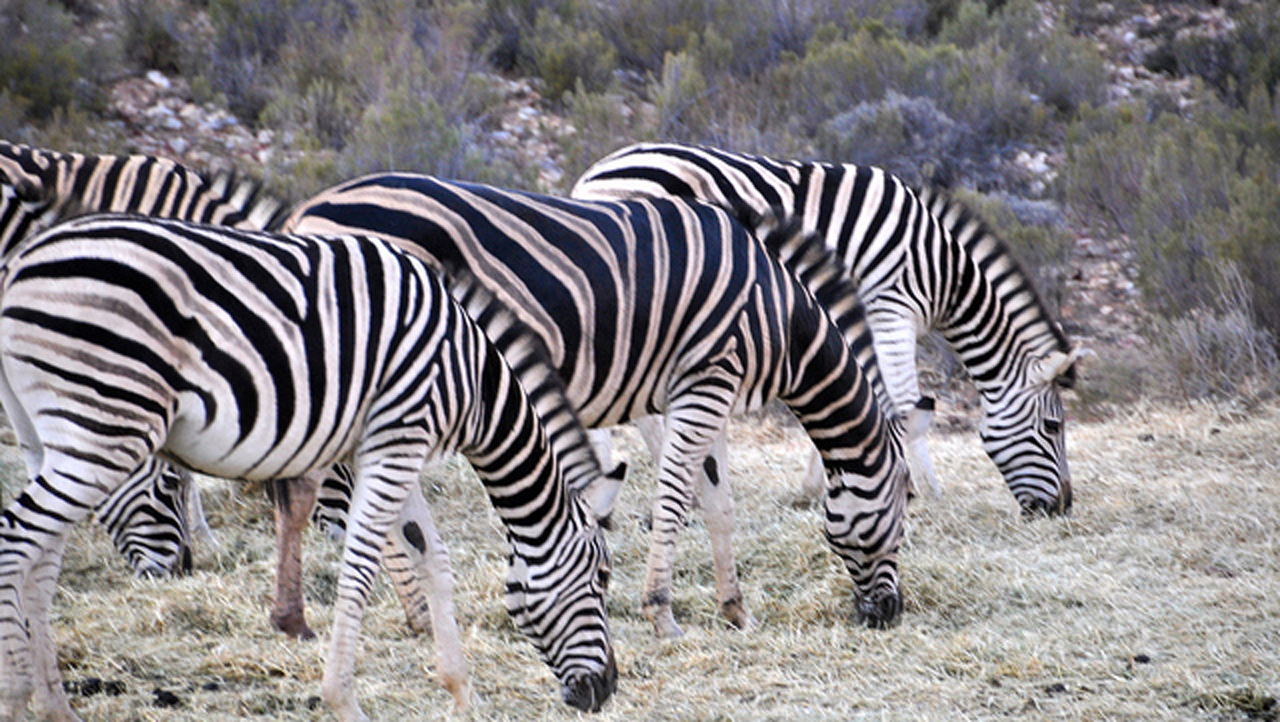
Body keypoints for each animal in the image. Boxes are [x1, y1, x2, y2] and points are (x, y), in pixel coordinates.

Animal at [0, 213, 620, 721]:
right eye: (603, 577)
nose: (606, 691)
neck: (472, 380)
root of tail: (23, 264)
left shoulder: (390, 444)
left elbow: (432, 556)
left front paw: (462, 693)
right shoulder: (399, 437)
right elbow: (363, 565)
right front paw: (344, 701)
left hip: (56, 436)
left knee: (42, 560)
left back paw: (55, 705)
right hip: (106, 425)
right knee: (17, 541)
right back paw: (17, 696)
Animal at [281, 173, 916, 639]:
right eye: (905, 507)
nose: (889, 616)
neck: (779, 311)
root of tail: (305, 211)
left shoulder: (709, 385)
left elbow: (718, 502)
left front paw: (735, 610)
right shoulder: (704, 382)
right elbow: (674, 499)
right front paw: (661, 613)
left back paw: (408, 613)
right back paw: (369, 613)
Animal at [572, 142, 1091, 515]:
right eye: (1053, 426)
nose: (1062, 508)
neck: (942, 269)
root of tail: (592, 177)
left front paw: (821, 483)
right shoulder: (890, 307)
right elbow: (907, 404)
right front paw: (924, 489)